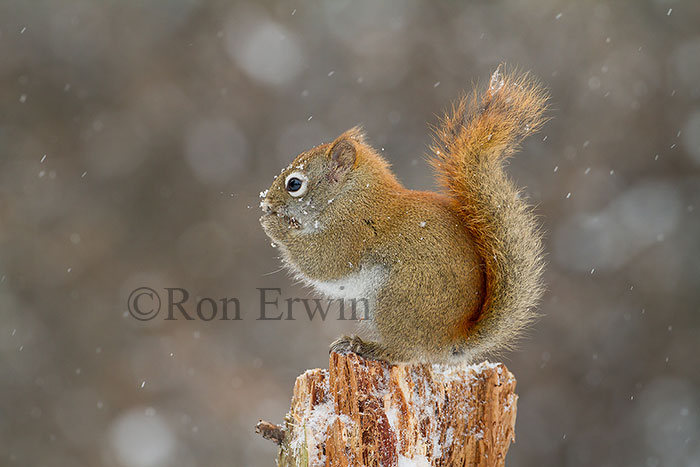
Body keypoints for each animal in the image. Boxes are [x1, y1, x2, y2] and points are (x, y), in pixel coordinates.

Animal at [259, 66, 548, 364]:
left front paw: (274, 225)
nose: (266, 201)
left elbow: (322, 262)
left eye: (294, 184)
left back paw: (362, 345)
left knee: (404, 351)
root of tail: (450, 341)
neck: (350, 196)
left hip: (396, 297)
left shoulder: (351, 232)